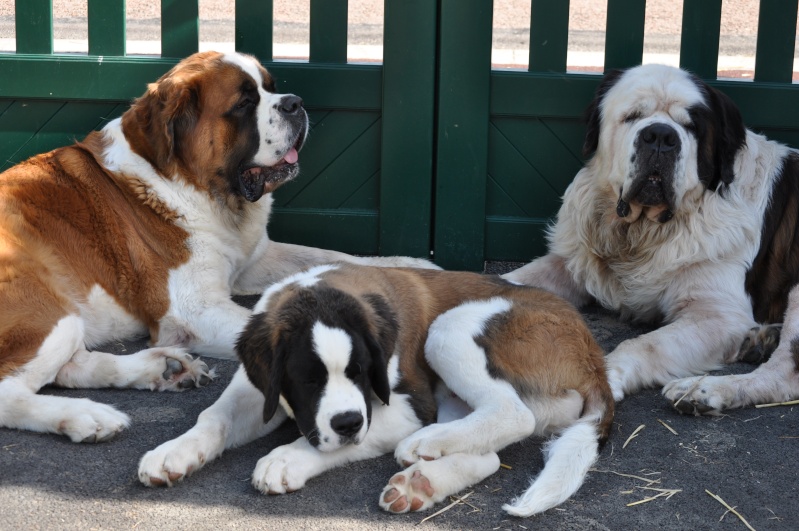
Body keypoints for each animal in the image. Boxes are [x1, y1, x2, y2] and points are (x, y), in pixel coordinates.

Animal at [0, 50, 434, 442]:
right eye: (244, 103)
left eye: (270, 87)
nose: (295, 103)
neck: (198, 188)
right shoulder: (194, 309)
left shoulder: (254, 260)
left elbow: (332, 259)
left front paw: (412, 267)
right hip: (48, 310)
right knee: (11, 391)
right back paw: (87, 417)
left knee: (69, 367)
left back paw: (163, 368)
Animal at [138, 264, 612, 516]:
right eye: (308, 379)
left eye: (362, 372)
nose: (347, 422)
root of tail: (593, 356)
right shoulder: (260, 387)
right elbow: (214, 416)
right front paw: (174, 452)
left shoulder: (409, 405)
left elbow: (337, 442)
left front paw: (287, 458)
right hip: (451, 389)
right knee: (492, 454)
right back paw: (423, 481)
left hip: (449, 329)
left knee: (513, 414)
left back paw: (425, 446)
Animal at [506, 63, 799, 416]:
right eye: (633, 116)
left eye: (691, 126)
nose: (660, 136)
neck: (643, 231)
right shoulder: (575, 262)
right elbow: (511, 281)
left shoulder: (717, 314)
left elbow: (645, 343)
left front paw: (605, 377)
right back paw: (758, 341)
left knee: (783, 375)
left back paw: (701, 391)